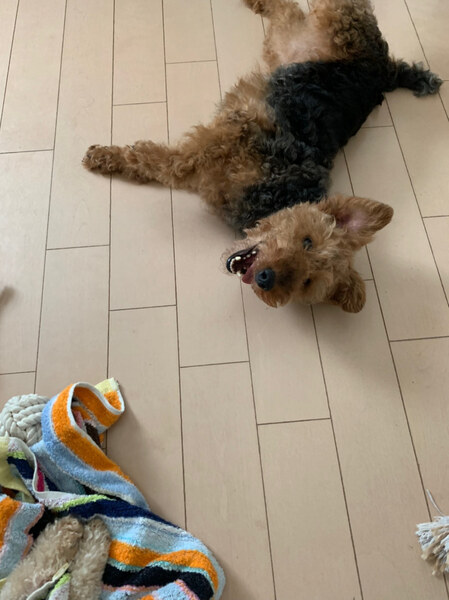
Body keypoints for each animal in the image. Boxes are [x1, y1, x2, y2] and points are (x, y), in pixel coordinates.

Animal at [83, 0, 441, 312]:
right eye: (307, 241)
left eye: (307, 281)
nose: (266, 278)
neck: (279, 193)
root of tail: (386, 71)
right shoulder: (215, 143)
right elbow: (152, 158)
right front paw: (103, 157)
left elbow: (158, 160)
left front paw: (106, 157)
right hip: (332, 19)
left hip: (287, 38)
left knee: (287, 9)